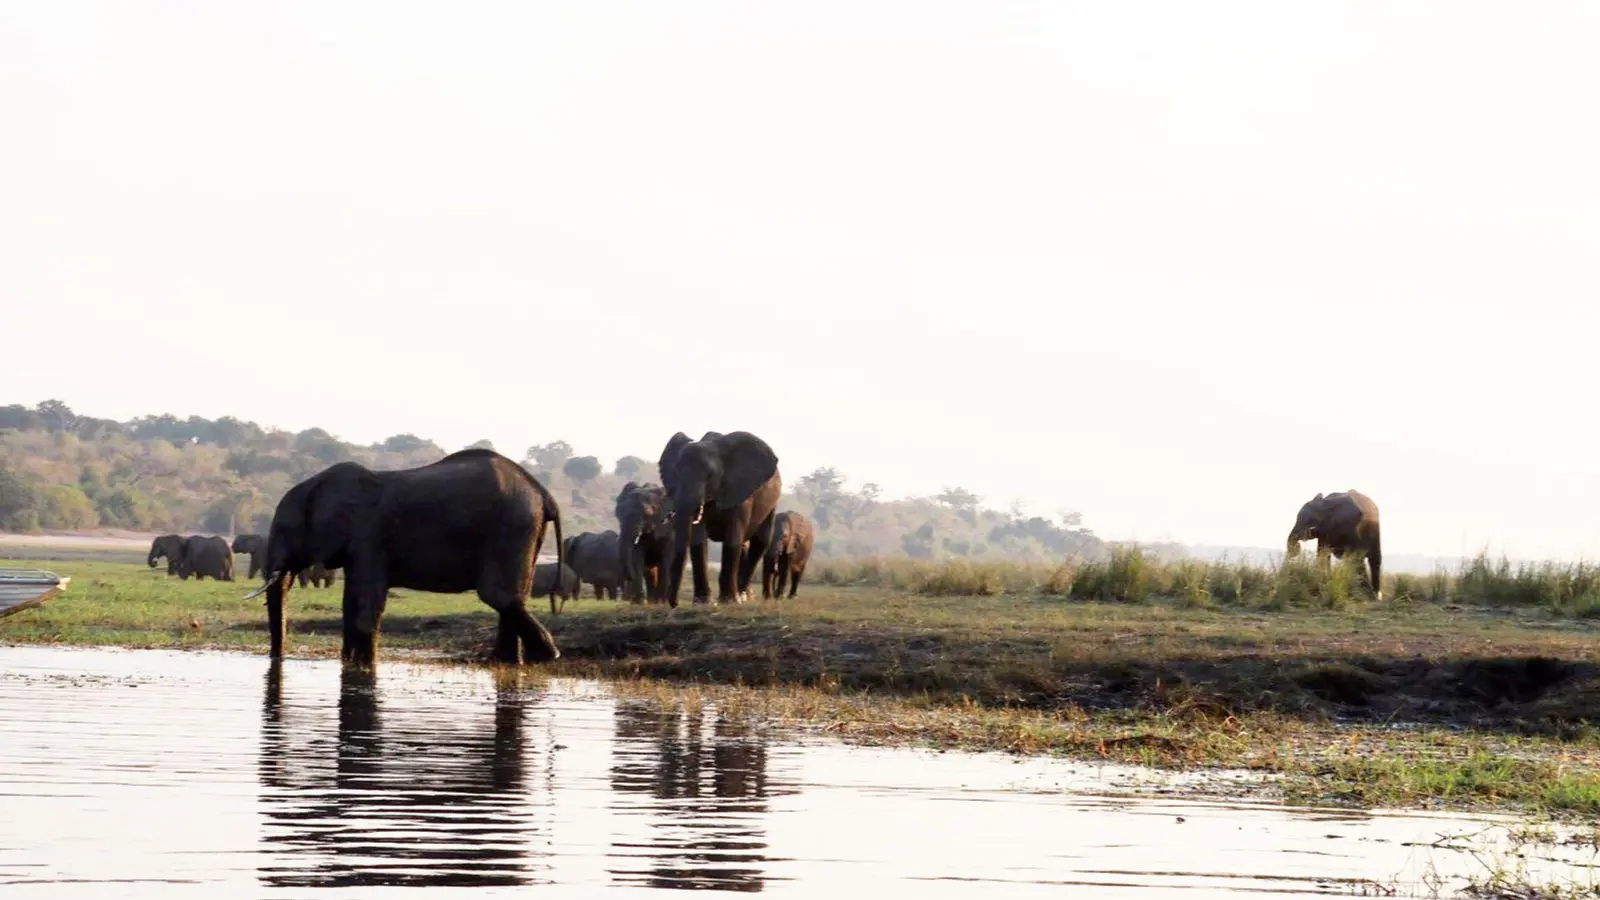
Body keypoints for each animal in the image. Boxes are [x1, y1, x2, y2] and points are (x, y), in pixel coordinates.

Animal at [249, 448, 569, 666]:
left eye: (284, 529)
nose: (278, 658)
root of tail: (543, 493)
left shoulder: (369, 536)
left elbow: (365, 600)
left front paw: (362, 664)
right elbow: (352, 600)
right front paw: (350, 662)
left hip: (511, 526)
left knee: (498, 595)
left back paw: (547, 656)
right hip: (525, 530)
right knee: (512, 597)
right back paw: (508, 662)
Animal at [656, 425, 780, 602]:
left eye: (710, 475)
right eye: (676, 472)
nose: (674, 604)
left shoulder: (739, 493)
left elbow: (732, 539)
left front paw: (729, 601)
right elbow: (698, 541)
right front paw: (703, 602)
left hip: (772, 502)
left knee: (761, 541)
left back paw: (743, 596)